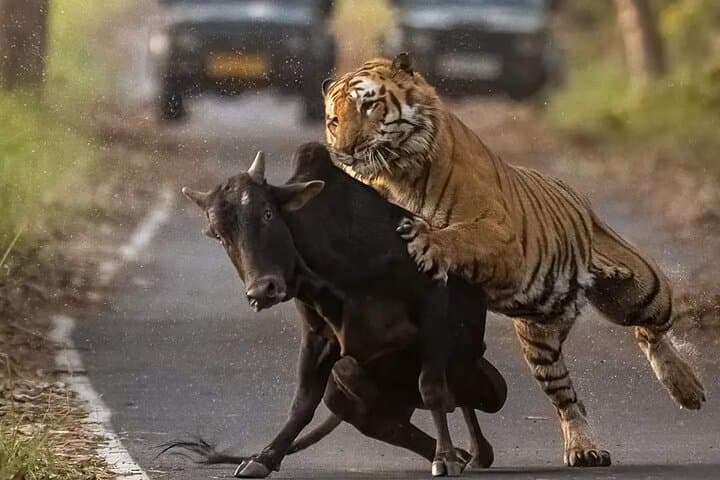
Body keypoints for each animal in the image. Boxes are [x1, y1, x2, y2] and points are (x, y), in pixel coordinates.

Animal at [322, 53, 706, 468]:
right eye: (334, 120)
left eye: (368, 106)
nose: (345, 151)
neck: (394, 175)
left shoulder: (503, 241)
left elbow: (458, 237)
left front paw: (426, 242)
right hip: (540, 339)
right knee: (569, 399)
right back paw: (583, 448)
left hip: (642, 290)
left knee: (651, 332)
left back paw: (688, 389)